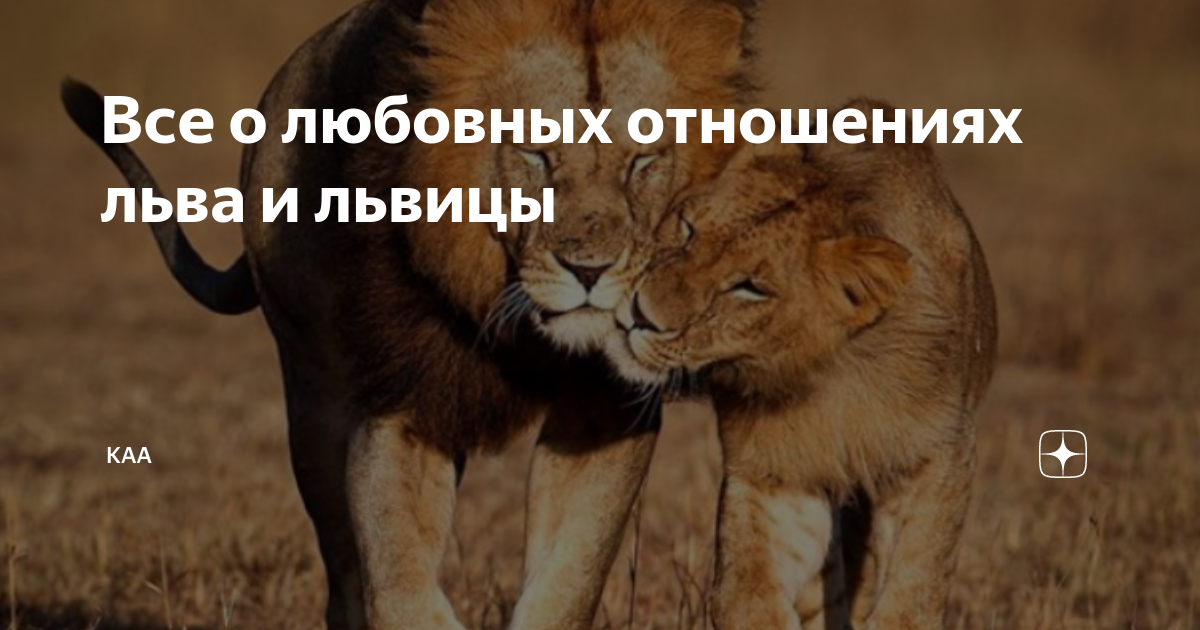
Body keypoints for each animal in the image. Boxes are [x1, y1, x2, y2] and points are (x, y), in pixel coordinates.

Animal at [61, 0, 754, 629]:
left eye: (643, 160)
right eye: (535, 154)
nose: (590, 271)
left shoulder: (603, 412)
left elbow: (569, 577)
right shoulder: (403, 401)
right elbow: (393, 571)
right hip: (312, 395)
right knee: (343, 569)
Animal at [603, 100, 998, 629]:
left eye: (750, 287)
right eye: (687, 230)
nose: (639, 316)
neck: (834, 374)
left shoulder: (939, 451)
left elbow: (915, 586)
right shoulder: (778, 472)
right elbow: (748, 594)